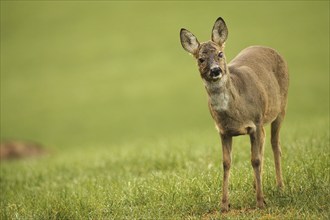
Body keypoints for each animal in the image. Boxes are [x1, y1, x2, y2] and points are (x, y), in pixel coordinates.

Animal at [180, 17, 288, 211]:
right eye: (201, 59)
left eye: (220, 54)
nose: (215, 70)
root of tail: (269, 48)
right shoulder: (223, 131)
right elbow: (226, 163)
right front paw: (224, 205)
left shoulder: (255, 122)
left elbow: (255, 160)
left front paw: (260, 202)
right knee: (264, 142)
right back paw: (256, 185)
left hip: (281, 107)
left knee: (275, 144)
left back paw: (280, 187)